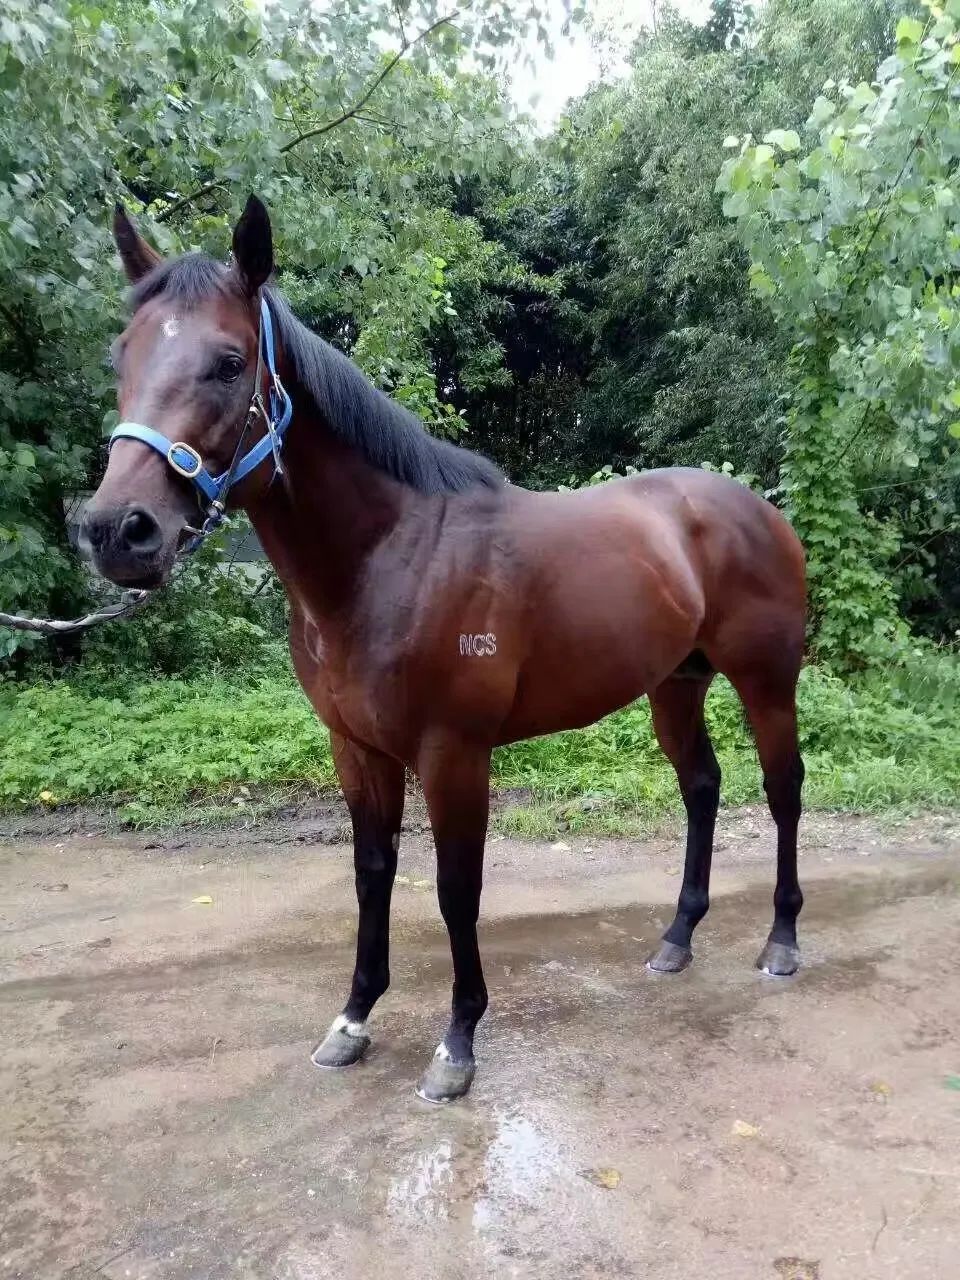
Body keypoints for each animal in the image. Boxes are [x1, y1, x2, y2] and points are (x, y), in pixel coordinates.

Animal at [82, 195, 806, 1103]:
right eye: (122, 354)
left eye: (228, 361)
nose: (118, 530)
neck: (390, 557)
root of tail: (757, 508)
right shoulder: (356, 749)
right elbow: (372, 874)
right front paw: (353, 1020)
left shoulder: (453, 753)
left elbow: (458, 890)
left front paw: (457, 1043)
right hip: (676, 684)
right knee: (702, 788)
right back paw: (676, 939)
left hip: (766, 681)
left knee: (783, 790)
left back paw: (782, 942)